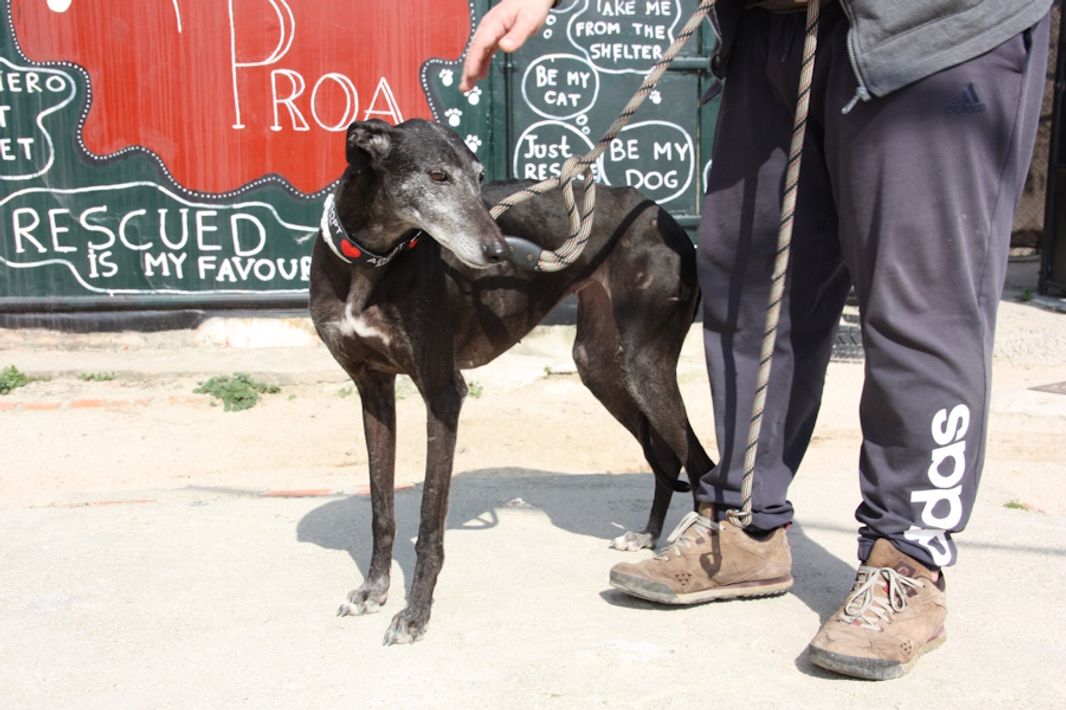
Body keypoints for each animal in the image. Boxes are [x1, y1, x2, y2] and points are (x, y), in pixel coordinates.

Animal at [309, 119, 714, 645]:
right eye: (437, 175)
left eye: (480, 177)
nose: (501, 253)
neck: (373, 260)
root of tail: (665, 215)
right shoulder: (371, 388)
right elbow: (382, 509)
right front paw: (373, 591)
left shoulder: (443, 392)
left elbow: (430, 523)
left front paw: (415, 614)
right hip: (600, 366)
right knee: (665, 453)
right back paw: (646, 535)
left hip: (647, 364)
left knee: (700, 461)